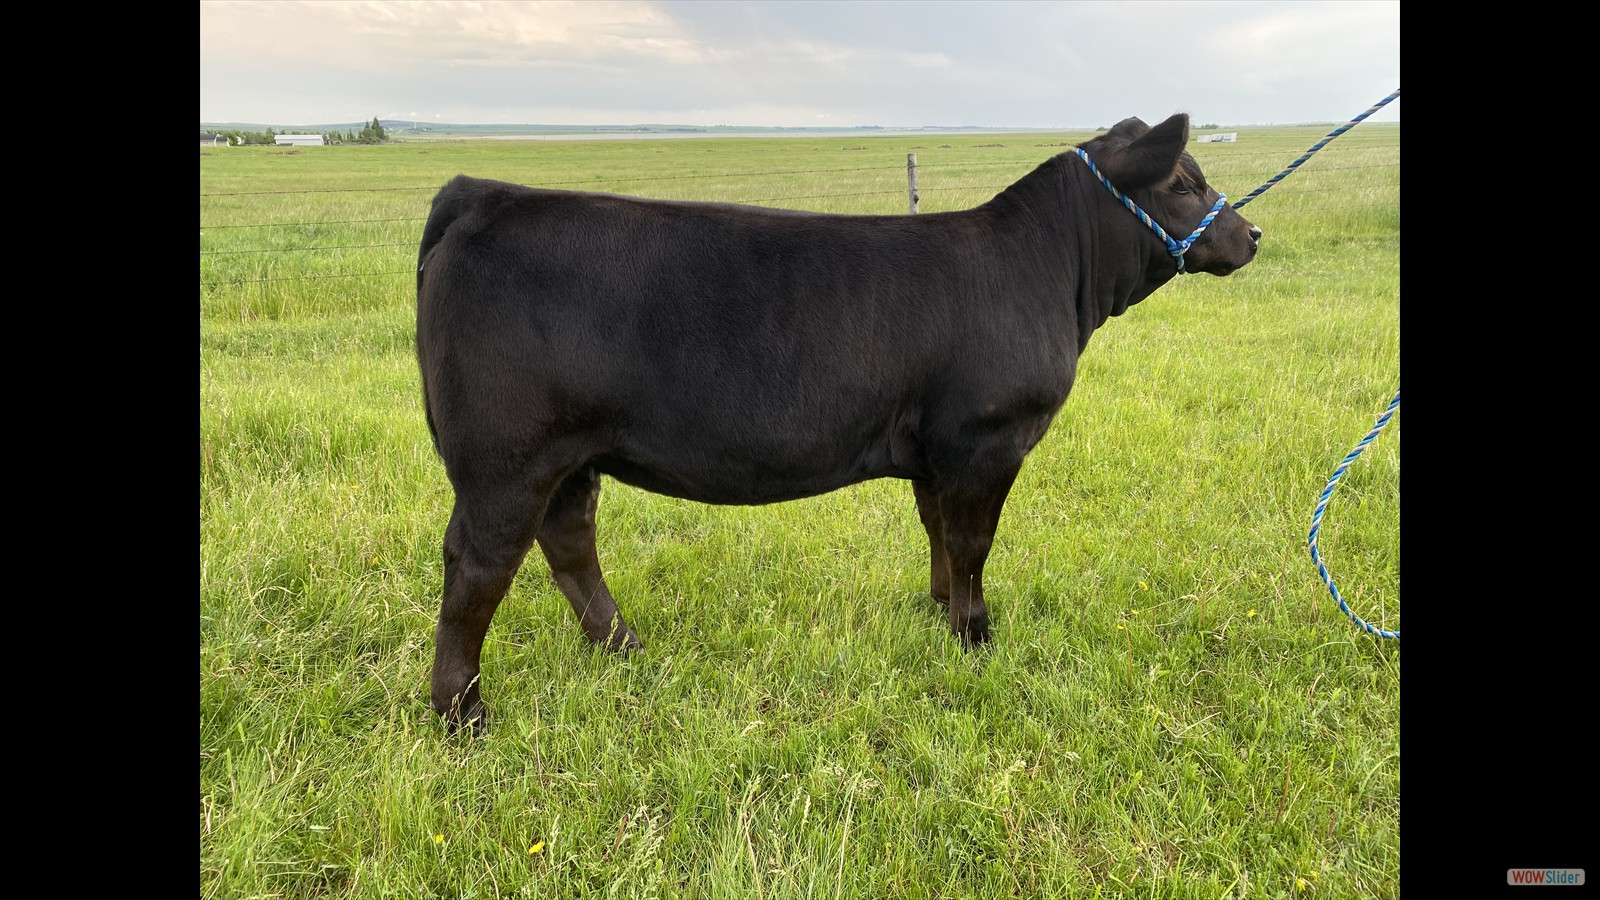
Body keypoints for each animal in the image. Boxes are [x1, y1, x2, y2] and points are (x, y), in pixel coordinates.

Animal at [415, 112, 1261, 730]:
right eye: (1183, 184)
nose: (1251, 233)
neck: (1047, 271)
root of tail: (483, 192)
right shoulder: (984, 440)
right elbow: (973, 542)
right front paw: (976, 635)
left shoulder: (933, 450)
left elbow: (936, 530)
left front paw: (938, 610)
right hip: (505, 459)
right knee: (478, 564)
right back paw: (462, 712)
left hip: (569, 454)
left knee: (568, 545)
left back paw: (624, 648)